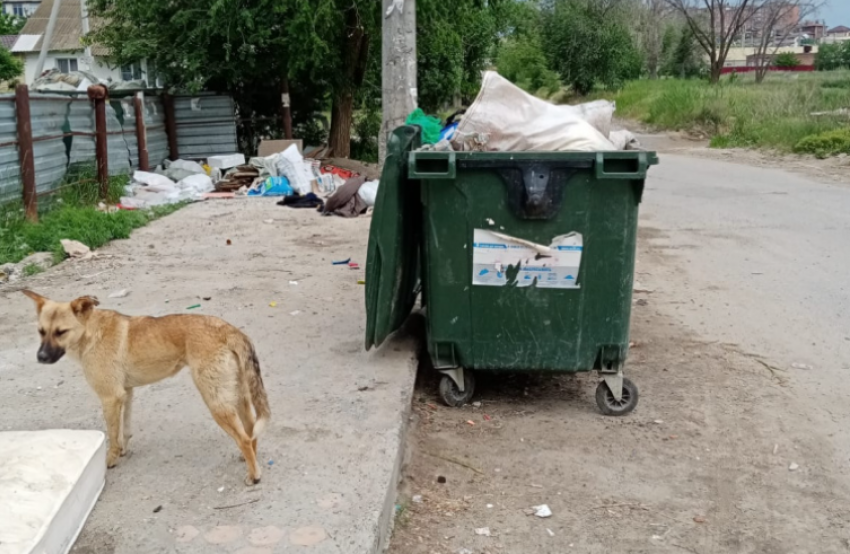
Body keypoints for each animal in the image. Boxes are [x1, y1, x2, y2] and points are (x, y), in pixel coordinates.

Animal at [21, 288, 270, 484]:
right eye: (41, 331)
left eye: (61, 332)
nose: (41, 358)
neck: (91, 332)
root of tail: (229, 330)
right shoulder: (126, 394)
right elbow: (125, 430)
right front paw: (123, 451)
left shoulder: (110, 398)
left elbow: (113, 435)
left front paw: (111, 460)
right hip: (237, 397)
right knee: (250, 432)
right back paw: (249, 458)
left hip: (217, 403)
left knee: (244, 438)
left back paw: (254, 475)